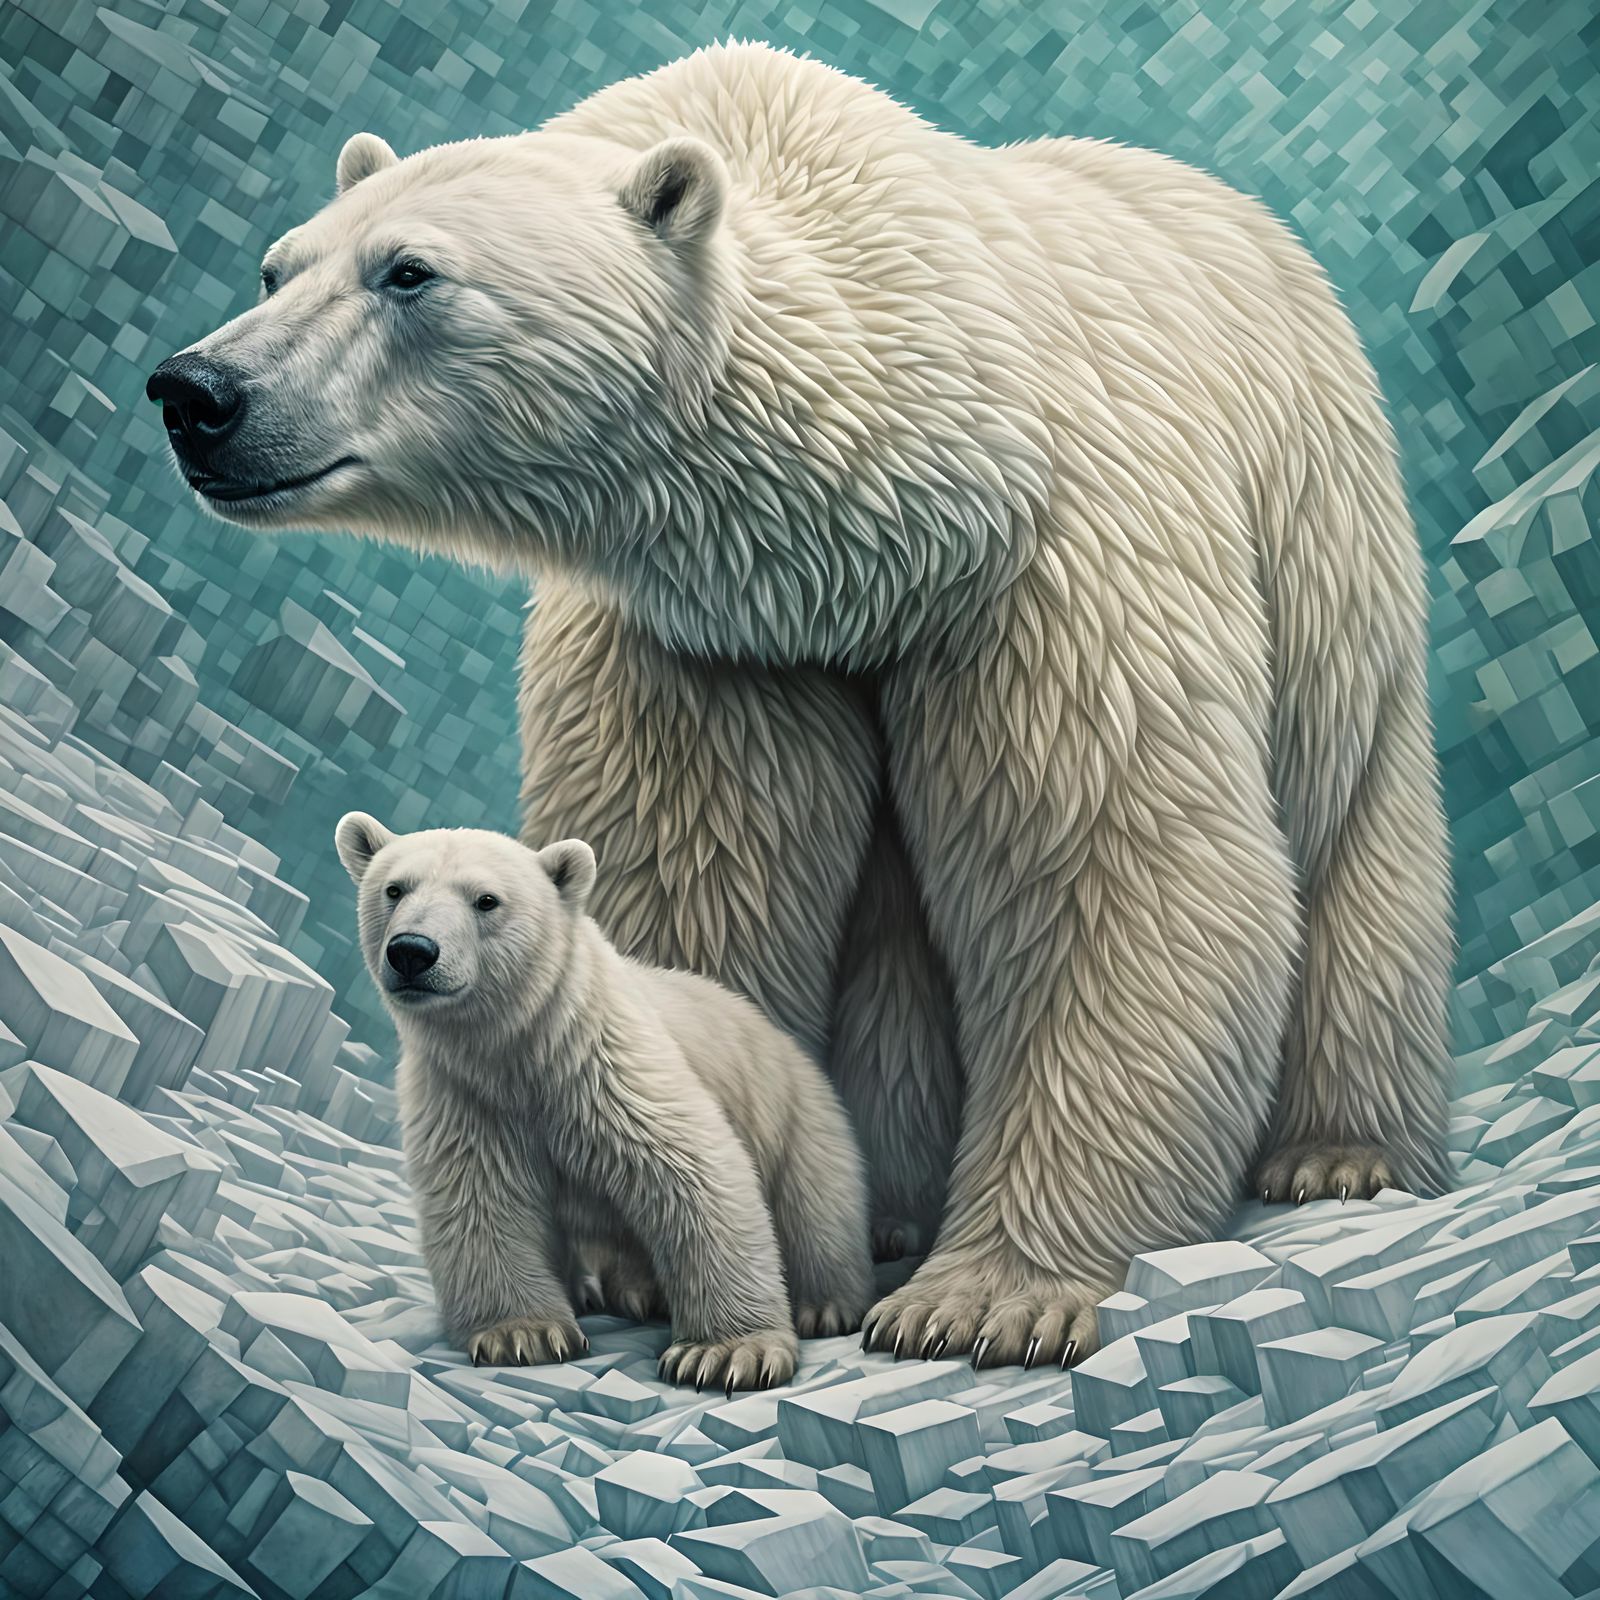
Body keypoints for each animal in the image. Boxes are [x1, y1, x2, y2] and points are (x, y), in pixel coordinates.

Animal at [334, 812, 874, 1390]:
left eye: (486, 900)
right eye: (395, 889)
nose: (412, 951)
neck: (522, 1049)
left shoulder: (611, 1073)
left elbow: (696, 1176)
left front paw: (724, 1353)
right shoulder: (467, 1096)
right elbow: (480, 1196)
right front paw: (523, 1333)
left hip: (798, 1116)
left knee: (816, 1209)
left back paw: (825, 1307)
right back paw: (631, 1292)